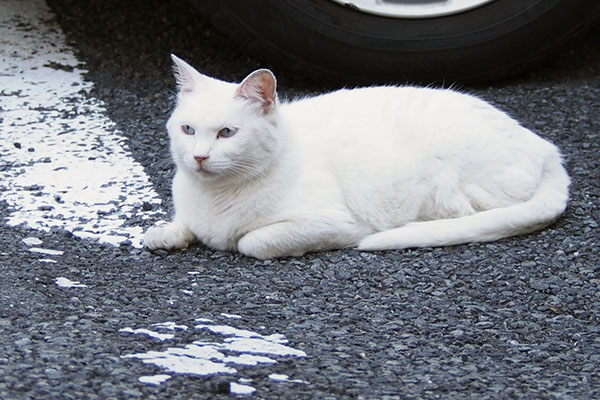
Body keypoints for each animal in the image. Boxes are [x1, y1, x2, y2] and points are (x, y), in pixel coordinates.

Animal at [143, 54, 568, 260]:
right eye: (188, 130)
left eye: (227, 133)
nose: (199, 157)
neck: (215, 197)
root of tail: (547, 148)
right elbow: (166, 230)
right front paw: (168, 233)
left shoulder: (332, 224)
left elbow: (253, 242)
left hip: (447, 188)